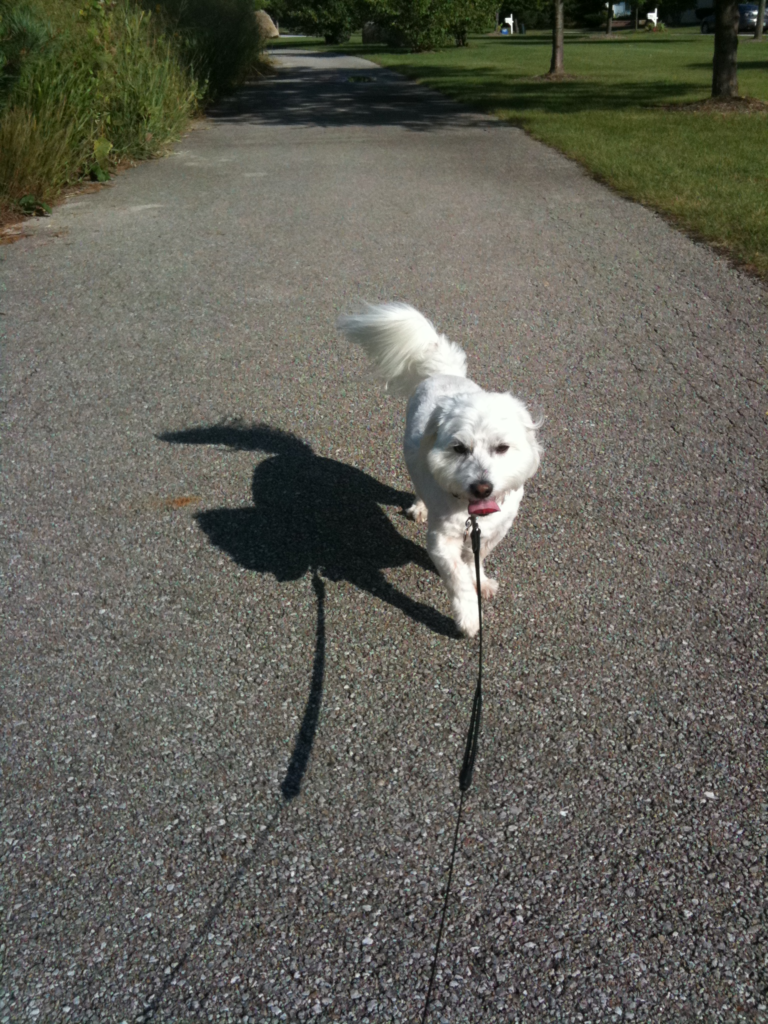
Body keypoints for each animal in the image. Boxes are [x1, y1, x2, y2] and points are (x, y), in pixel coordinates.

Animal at [335, 303, 540, 634]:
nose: (482, 487)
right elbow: (457, 577)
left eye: (502, 448)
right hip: (413, 460)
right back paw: (419, 507)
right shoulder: (441, 541)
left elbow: (475, 559)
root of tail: (444, 373)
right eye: (459, 448)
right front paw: (468, 616)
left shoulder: (496, 529)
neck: (471, 513)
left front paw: (481, 581)